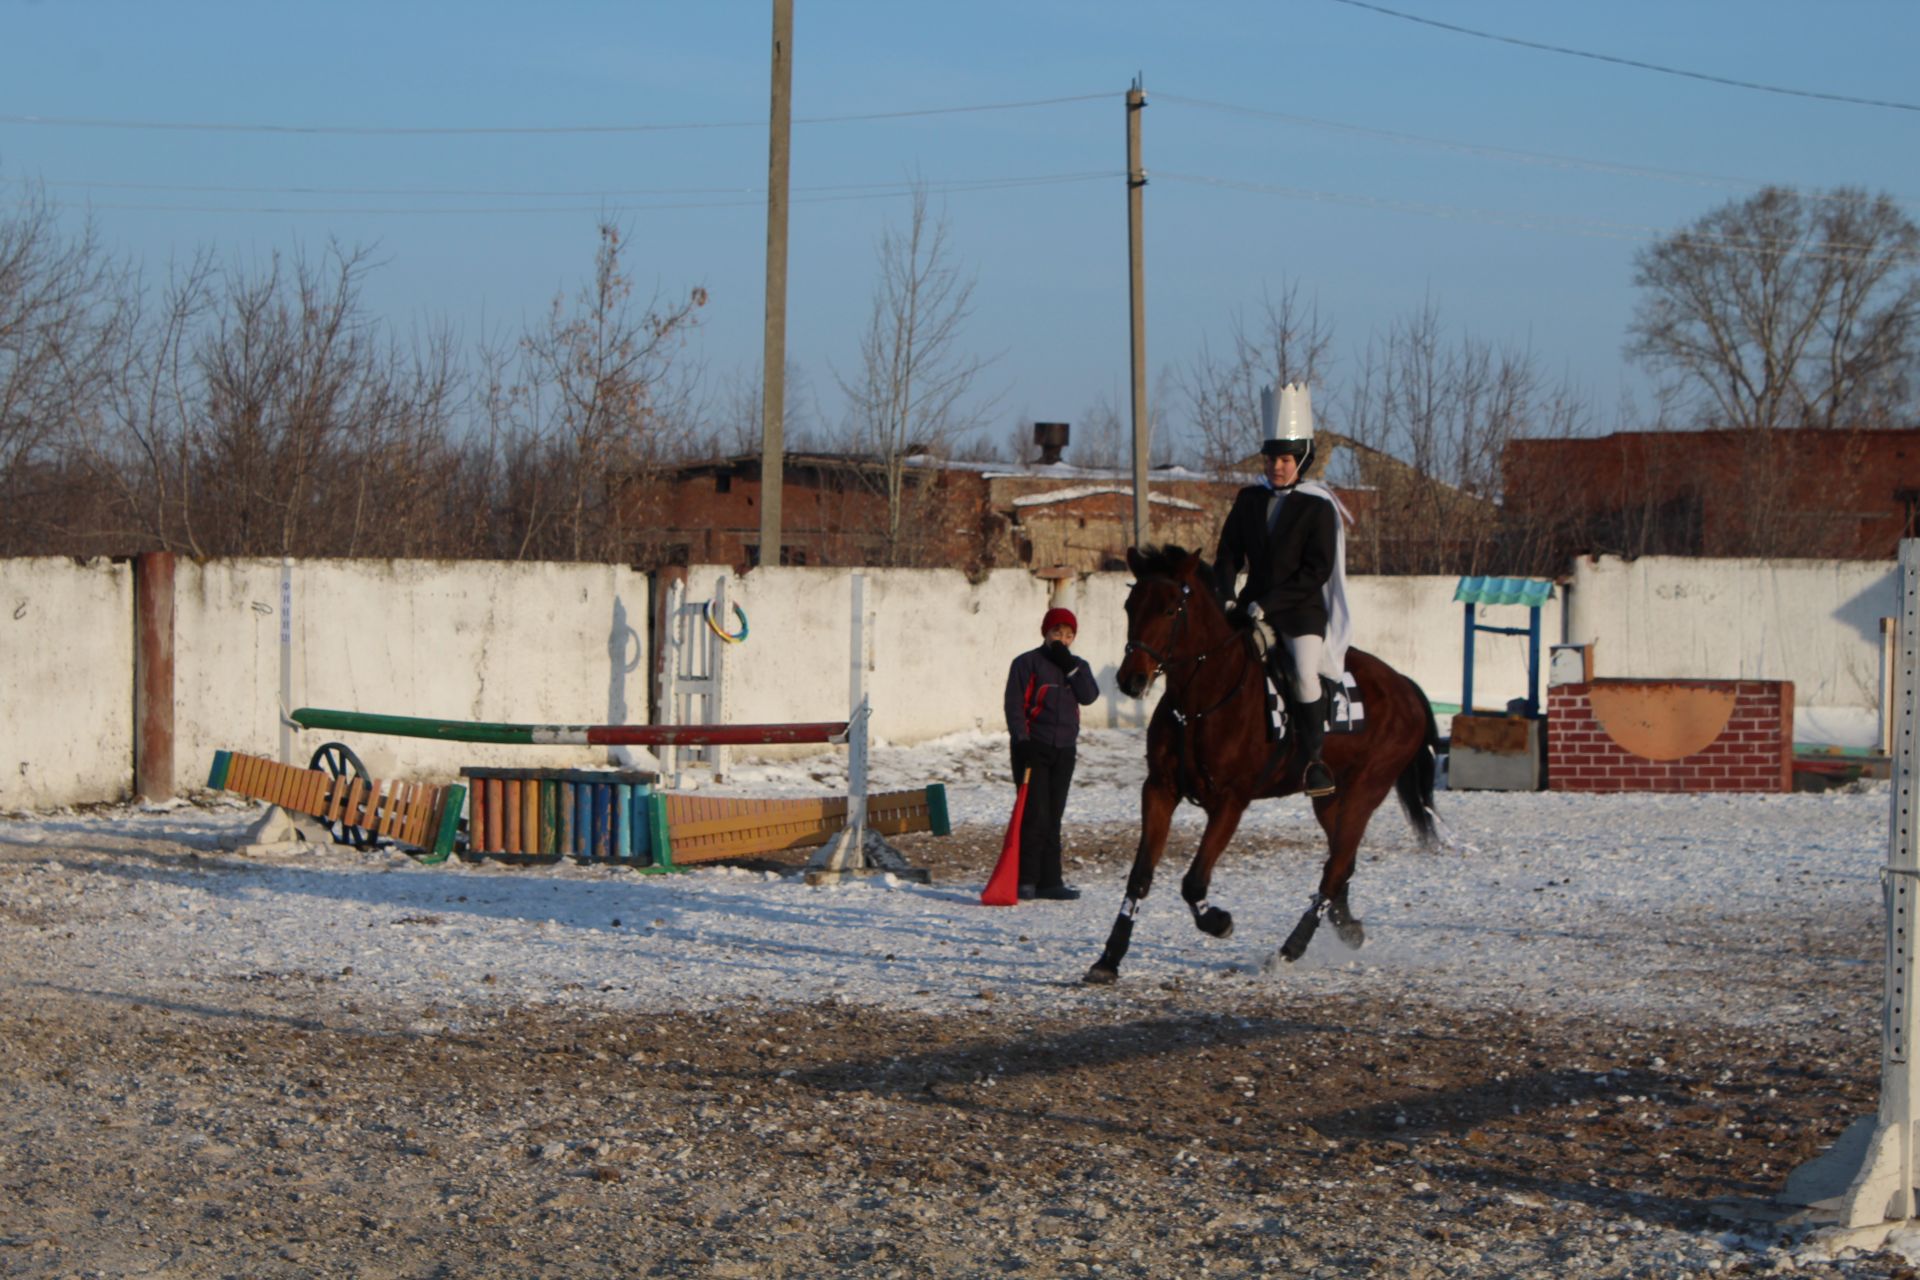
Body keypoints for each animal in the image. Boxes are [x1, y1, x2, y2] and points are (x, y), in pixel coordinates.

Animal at [1090, 545, 1436, 990]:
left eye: (1169, 609)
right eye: (1130, 606)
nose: (1130, 680)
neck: (1200, 703)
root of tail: (1403, 685)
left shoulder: (1230, 802)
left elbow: (1193, 881)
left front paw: (1219, 921)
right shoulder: (1159, 790)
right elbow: (1140, 875)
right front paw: (1109, 959)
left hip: (1365, 793)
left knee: (1335, 867)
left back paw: (1290, 950)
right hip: (1330, 800)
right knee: (1342, 863)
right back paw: (1348, 930)